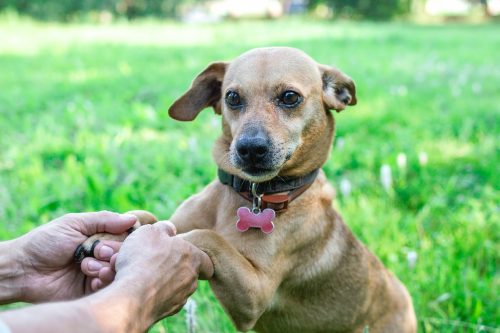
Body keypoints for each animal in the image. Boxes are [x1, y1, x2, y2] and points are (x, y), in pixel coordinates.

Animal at [77, 46, 414, 332]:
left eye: (290, 97)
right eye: (232, 97)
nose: (250, 148)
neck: (248, 195)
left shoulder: (254, 295)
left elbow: (205, 237)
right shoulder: (179, 221)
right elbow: (149, 217)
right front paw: (111, 233)